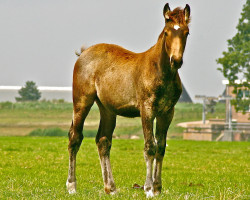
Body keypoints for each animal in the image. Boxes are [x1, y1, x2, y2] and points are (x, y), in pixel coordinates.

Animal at [65, 2, 190, 197]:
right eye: (167, 32)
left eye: (186, 32)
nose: (176, 60)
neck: (160, 71)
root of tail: (83, 53)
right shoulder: (147, 110)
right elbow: (150, 146)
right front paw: (148, 188)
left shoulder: (167, 113)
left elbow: (161, 147)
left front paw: (157, 188)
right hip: (81, 102)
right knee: (75, 137)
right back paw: (72, 186)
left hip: (107, 109)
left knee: (103, 141)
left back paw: (111, 188)